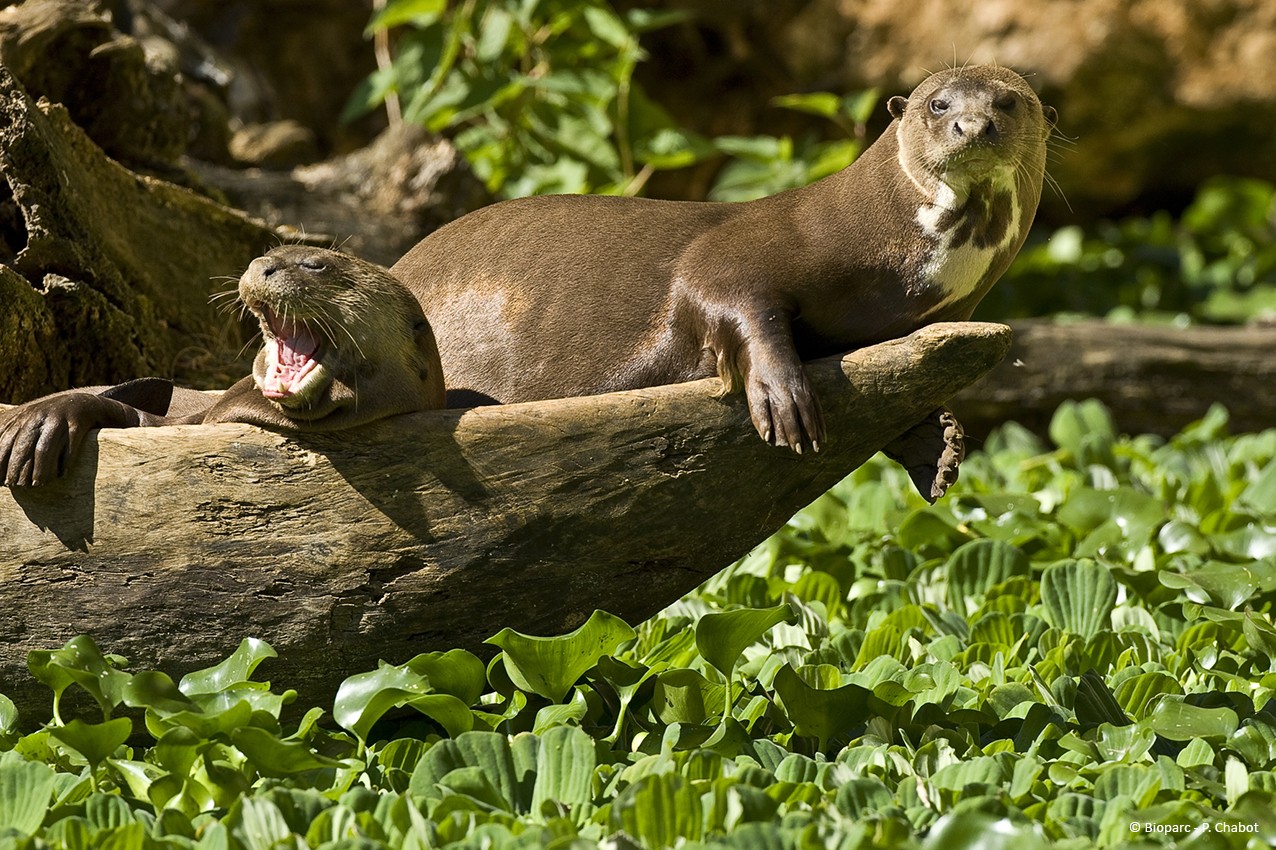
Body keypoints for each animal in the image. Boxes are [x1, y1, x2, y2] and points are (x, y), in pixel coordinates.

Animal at [395, 62, 1056, 449]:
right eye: (938, 104)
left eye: (1009, 102)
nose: (974, 126)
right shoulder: (750, 246)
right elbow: (725, 294)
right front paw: (784, 398)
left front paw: (936, 442)